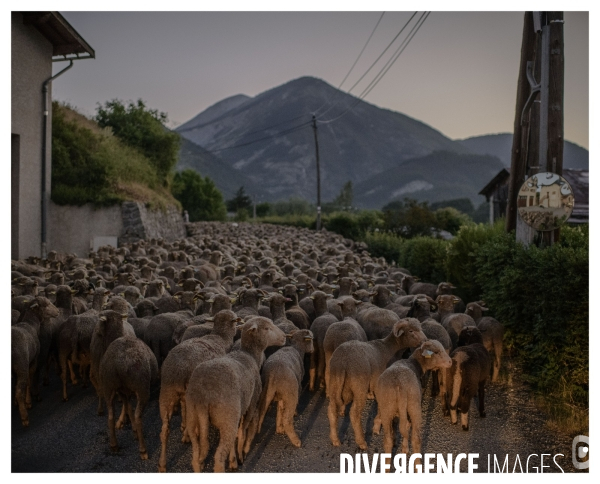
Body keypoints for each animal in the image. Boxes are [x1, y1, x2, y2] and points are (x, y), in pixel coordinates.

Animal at [159, 310, 246, 472]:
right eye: (236, 321)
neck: (220, 337)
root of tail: (178, 369)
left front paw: (184, 430)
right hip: (190, 393)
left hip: (166, 394)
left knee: (164, 431)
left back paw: (162, 464)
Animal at [185, 316, 286, 470]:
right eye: (267, 328)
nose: (285, 337)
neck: (250, 355)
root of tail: (202, 395)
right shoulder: (250, 404)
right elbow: (242, 432)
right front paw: (241, 454)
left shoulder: (238, 412)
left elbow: (235, 437)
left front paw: (233, 460)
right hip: (227, 416)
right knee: (219, 456)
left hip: (193, 418)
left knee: (196, 457)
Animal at [326, 318, 428, 450]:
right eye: (411, 330)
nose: (425, 341)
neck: (389, 347)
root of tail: (343, 361)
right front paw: (377, 425)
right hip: (359, 384)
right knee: (354, 413)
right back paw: (361, 442)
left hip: (334, 381)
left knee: (332, 410)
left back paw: (335, 439)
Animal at [372, 338, 452, 470]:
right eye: (436, 352)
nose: (450, 362)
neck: (413, 363)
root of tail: (399, 385)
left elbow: (402, 427)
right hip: (414, 406)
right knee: (416, 438)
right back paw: (417, 466)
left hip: (388, 406)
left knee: (388, 439)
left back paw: (387, 468)